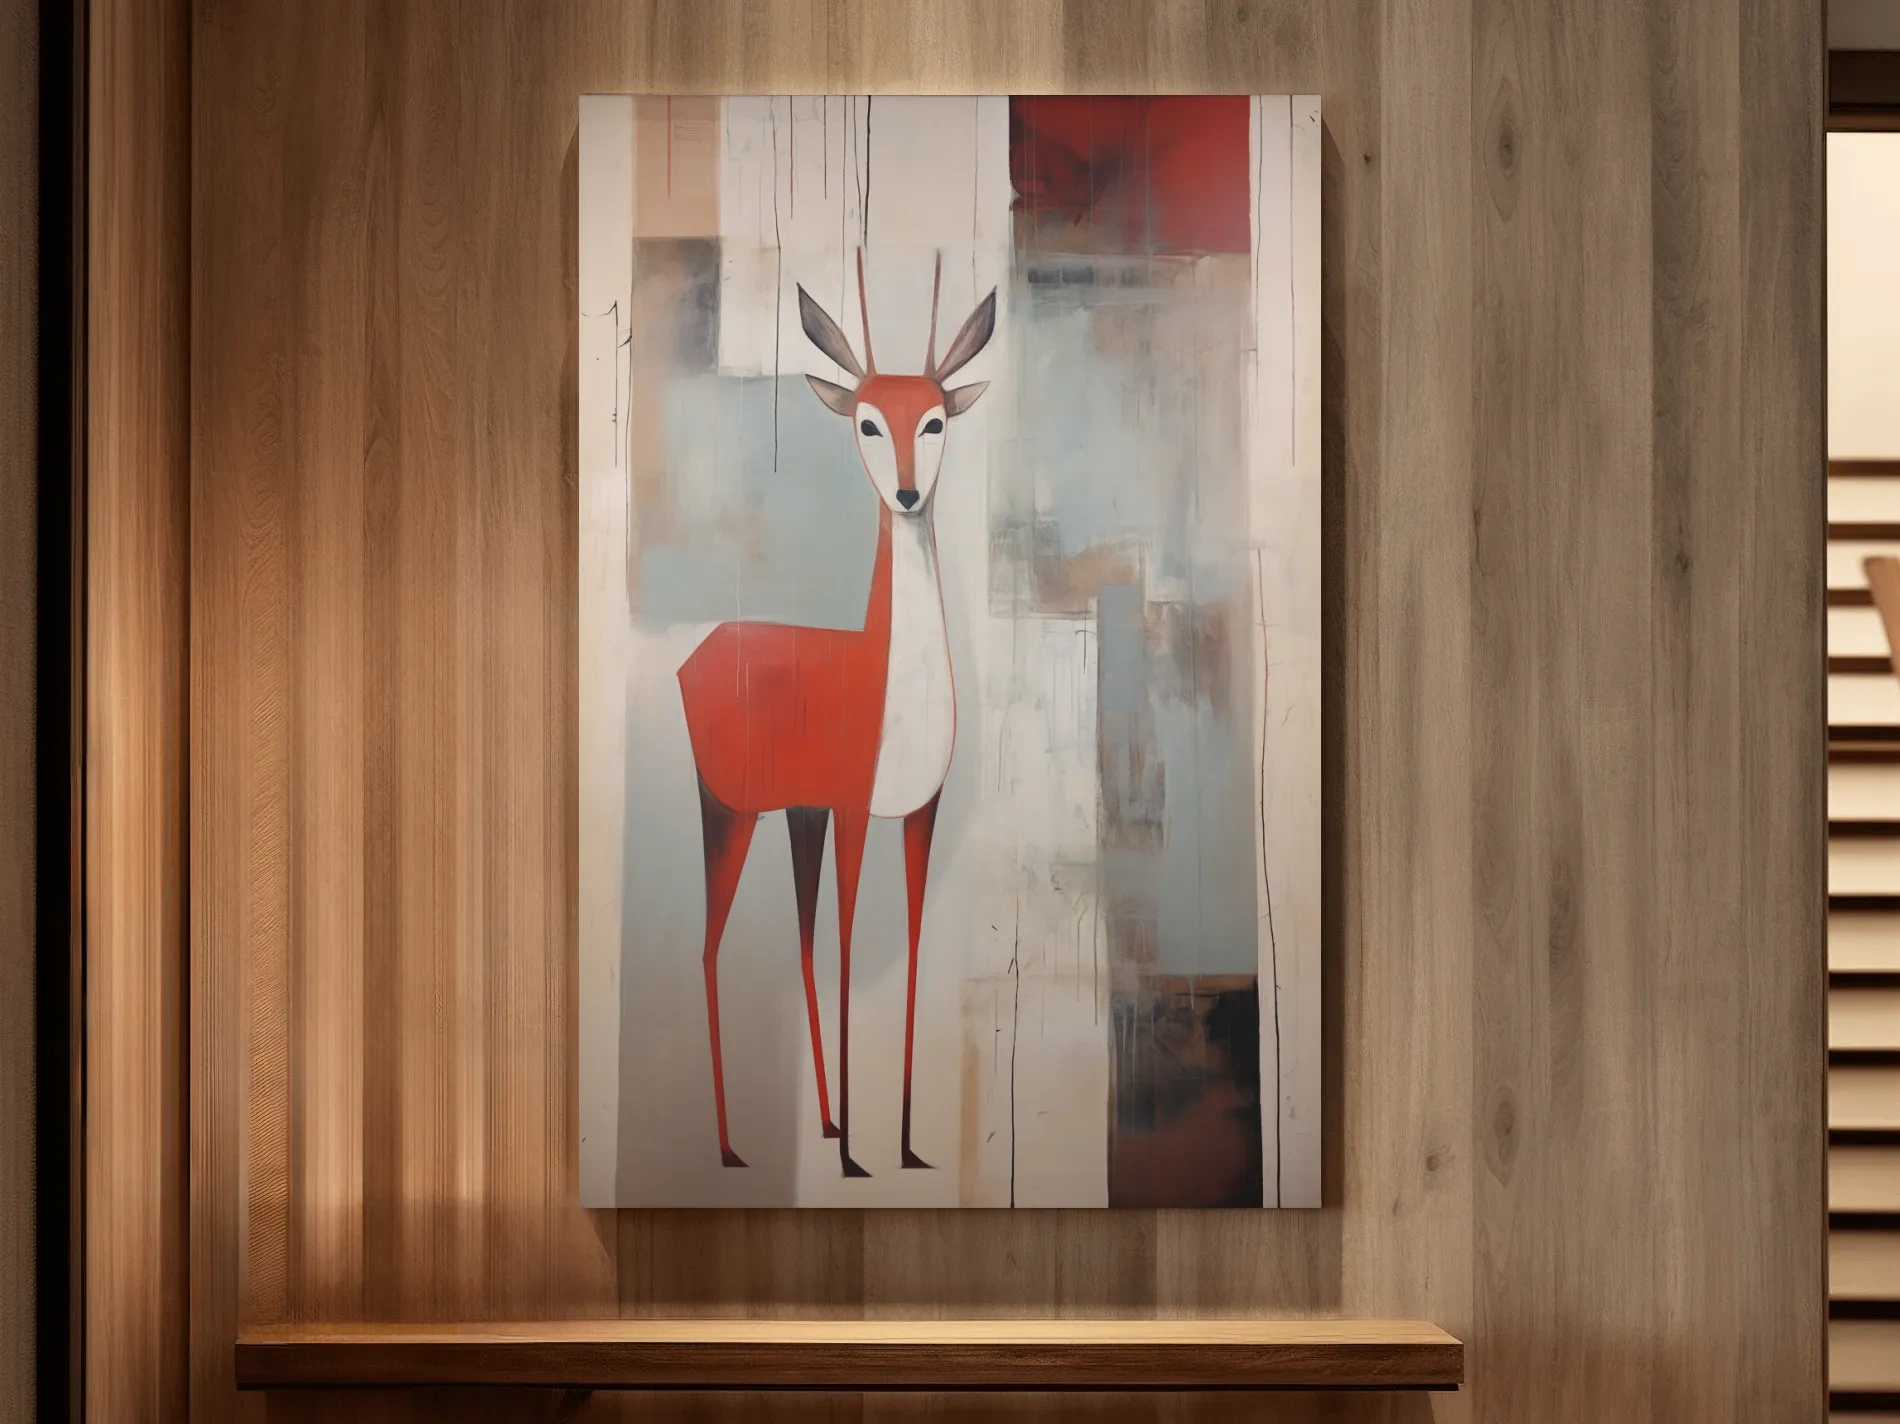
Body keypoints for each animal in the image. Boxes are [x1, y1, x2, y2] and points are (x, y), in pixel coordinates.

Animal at [676, 251, 996, 1179]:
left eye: (935, 421)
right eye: (867, 423)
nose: (909, 496)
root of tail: (703, 646)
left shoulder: (916, 812)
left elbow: (912, 945)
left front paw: (905, 1147)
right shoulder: (855, 809)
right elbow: (857, 945)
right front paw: (859, 1157)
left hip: (795, 814)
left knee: (799, 941)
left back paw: (815, 1126)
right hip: (730, 807)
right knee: (710, 947)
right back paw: (731, 1148)